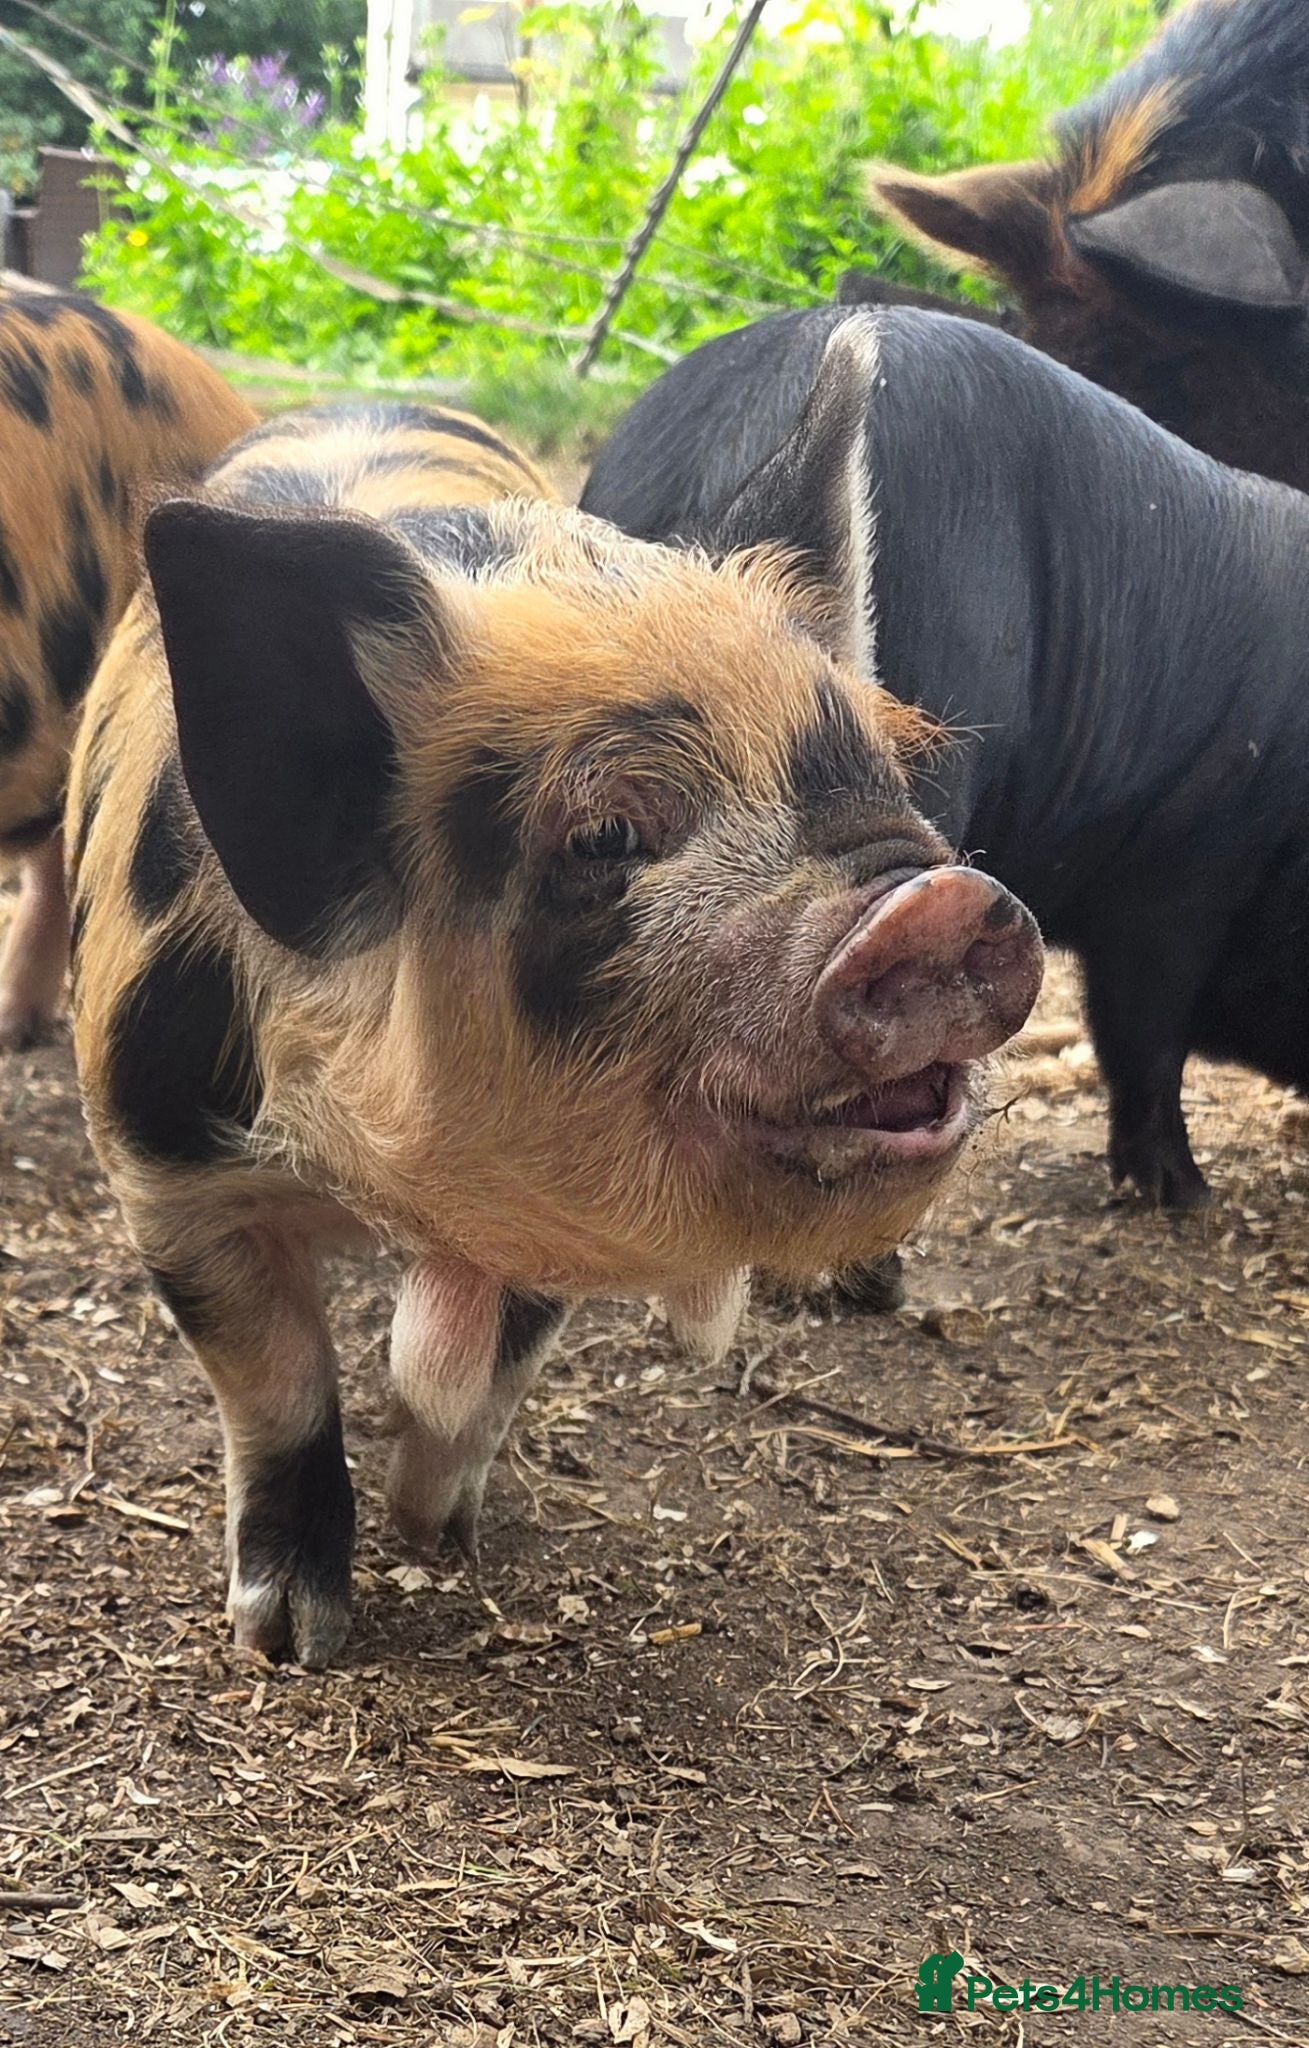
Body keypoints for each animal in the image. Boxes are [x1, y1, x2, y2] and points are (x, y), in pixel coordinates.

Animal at [68, 398, 1042, 1667]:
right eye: (608, 834)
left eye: (883, 777)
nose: (939, 900)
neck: (371, 1184)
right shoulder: (163, 1169)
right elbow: (276, 1387)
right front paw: (288, 1639)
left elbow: (494, 1366)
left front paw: (444, 1529)